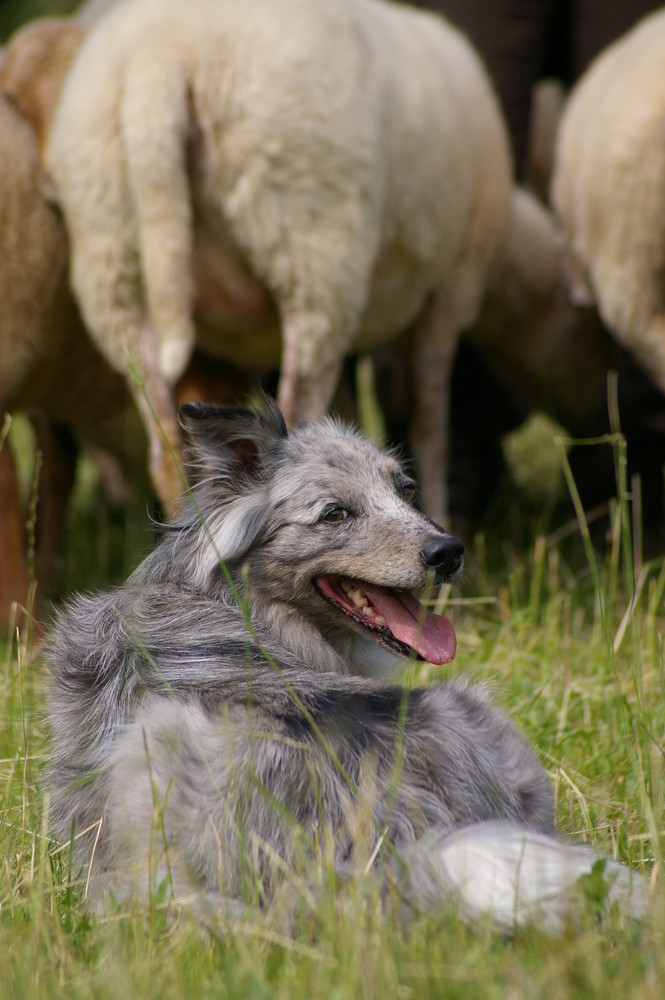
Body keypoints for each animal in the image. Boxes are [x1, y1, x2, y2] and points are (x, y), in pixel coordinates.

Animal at [29, 0, 508, 524]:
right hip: (312, 251)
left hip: (112, 267)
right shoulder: (450, 291)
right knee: (297, 424)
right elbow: (431, 424)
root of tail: (159, 60)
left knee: (166, 455)